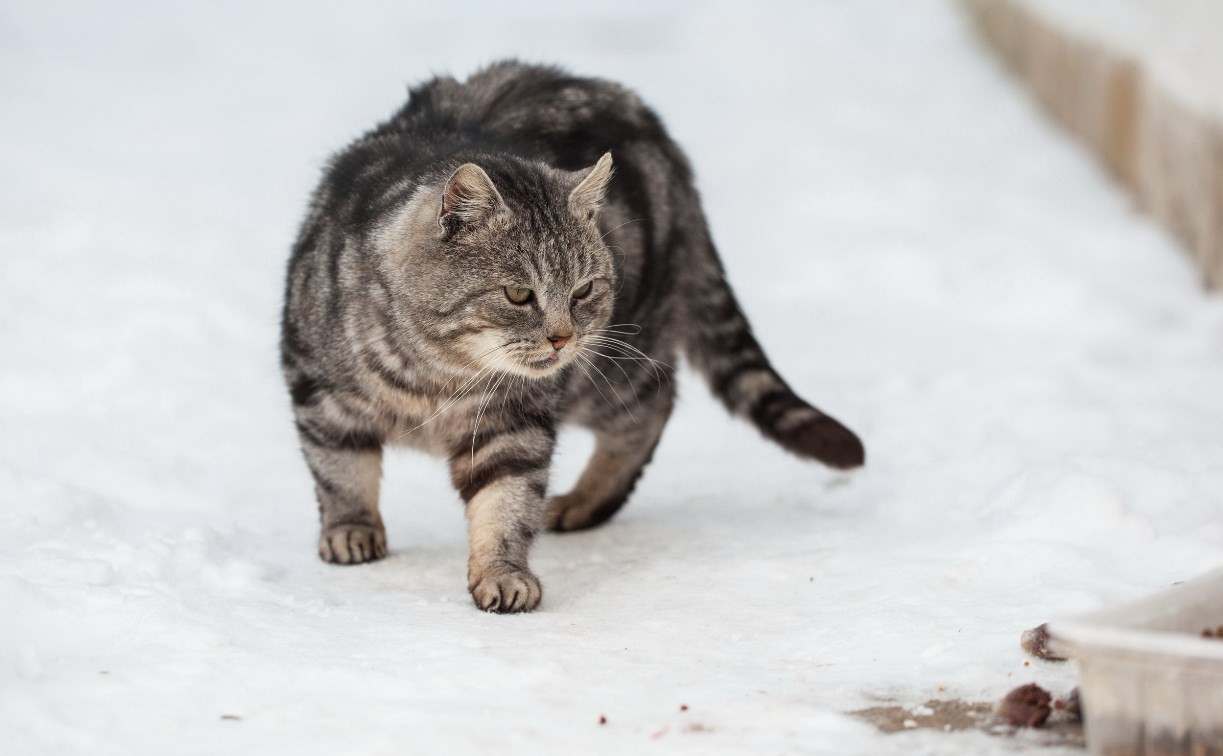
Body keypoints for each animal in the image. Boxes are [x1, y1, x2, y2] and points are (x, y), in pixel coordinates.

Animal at [281, 61, 865, 609]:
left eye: (582, 290)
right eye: (519, 294)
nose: (561, 338)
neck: (436, 376)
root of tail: (661, 135)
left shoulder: (514, 422)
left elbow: (507, 503)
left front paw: (503, 573)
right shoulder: (319, 395)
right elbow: (341, 474)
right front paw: (351, 531)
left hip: (611, 366)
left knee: (655, 402)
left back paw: (586, 501)